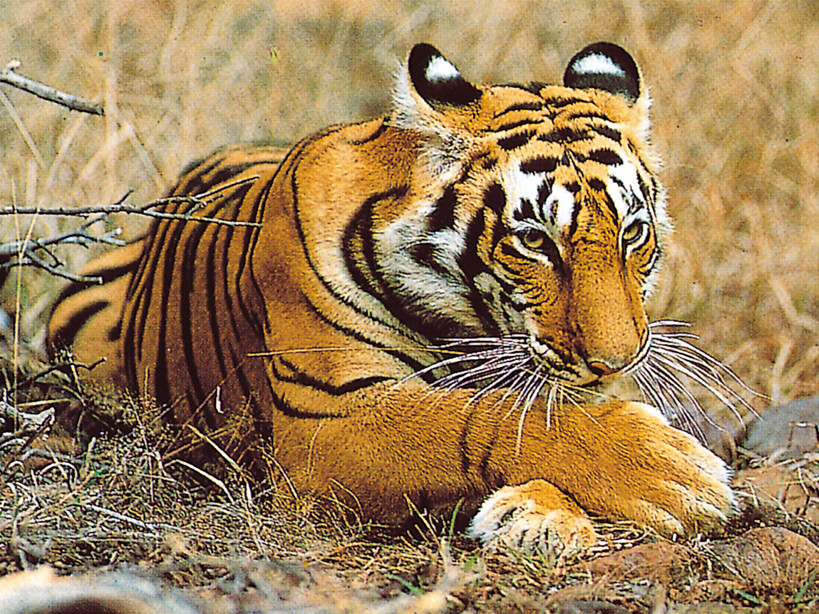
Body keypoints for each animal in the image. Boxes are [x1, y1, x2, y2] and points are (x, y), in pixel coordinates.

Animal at [48, 42, 735, 553]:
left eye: (632, 232)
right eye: (535, 240)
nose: (618, 361)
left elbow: (544, 409)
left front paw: (539, 516)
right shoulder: (327, 420)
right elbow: (481, 418)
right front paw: (673, 472)